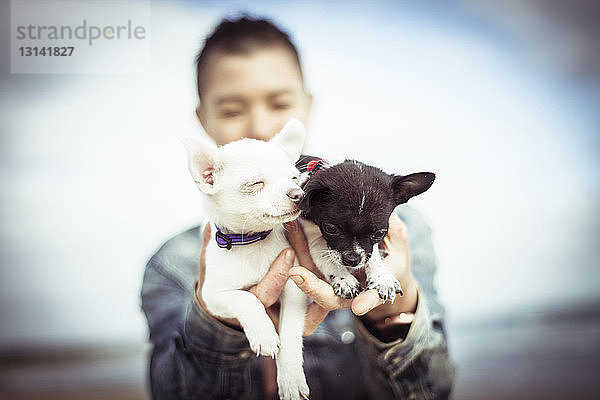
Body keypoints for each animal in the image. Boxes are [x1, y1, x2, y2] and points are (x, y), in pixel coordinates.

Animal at [182, 119, 310, 400]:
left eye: (294, 179)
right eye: (255, 184)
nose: (299, 194)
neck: (252, 241)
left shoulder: (294, 290)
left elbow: (290, 334)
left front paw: (291, 378)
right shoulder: (213, 296)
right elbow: (246, 298)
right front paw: (264, 333)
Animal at [296, 158, 434, 302]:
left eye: (379, 234)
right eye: (330, 229)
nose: (352, 260)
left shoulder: (370, 246)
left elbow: (372, 254)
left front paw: (382, 277)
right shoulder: (311, 232)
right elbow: (325, 255)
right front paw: (345, 279)